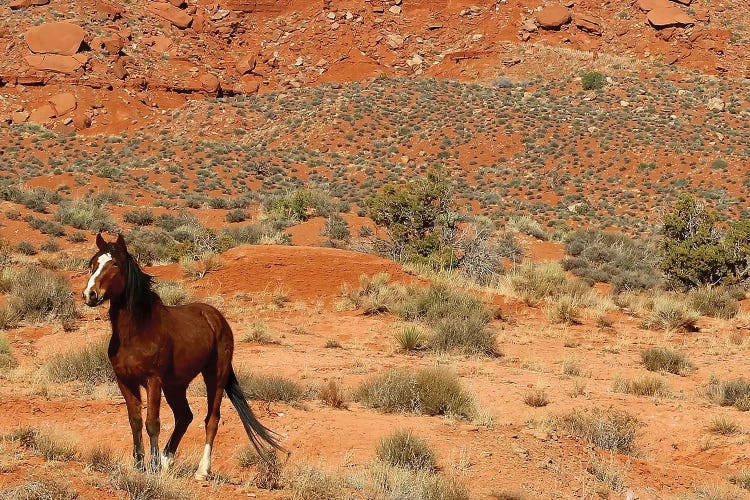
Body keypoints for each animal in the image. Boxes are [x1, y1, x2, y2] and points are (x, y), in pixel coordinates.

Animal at [82, 234, 282, 480]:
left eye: (115, 264)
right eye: (93, 263)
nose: (90, 295)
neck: (137, 331)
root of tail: (216, 317)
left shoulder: (153, 380)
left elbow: (152, 423)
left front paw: (153, 467)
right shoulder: (125, 381)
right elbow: (135, 421)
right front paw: (140, 466)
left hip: (215, 377)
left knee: (211, 419)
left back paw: (201, 470)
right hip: (175, 385)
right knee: (185, 416)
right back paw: (168, 461)